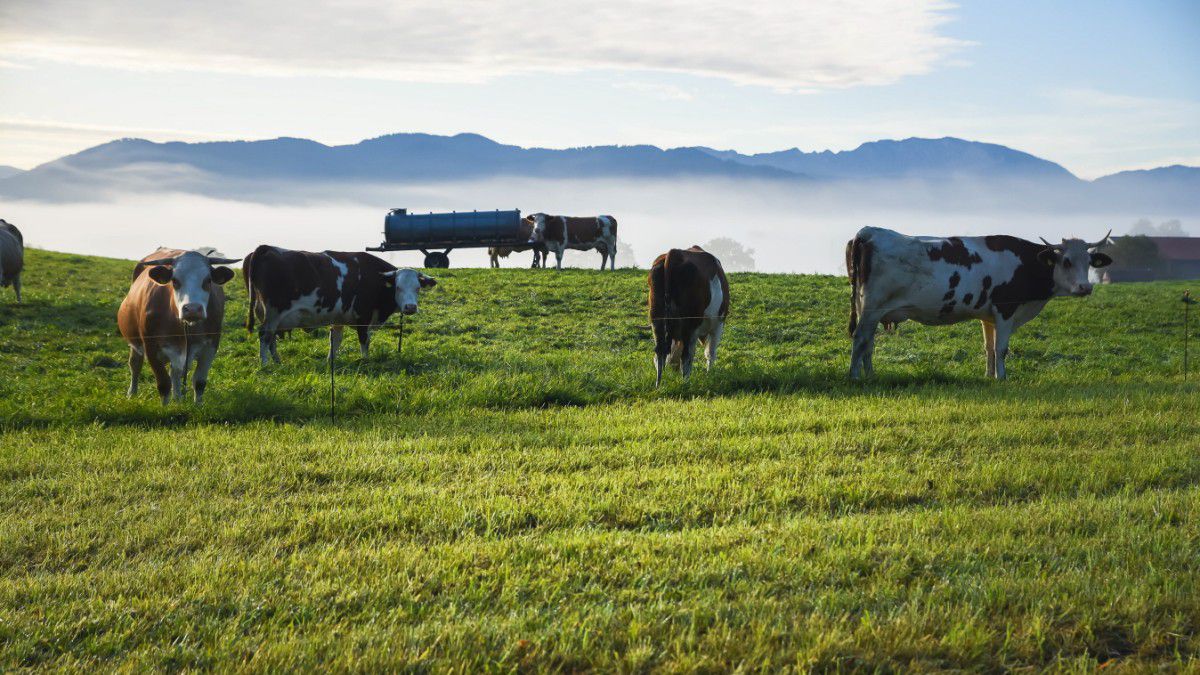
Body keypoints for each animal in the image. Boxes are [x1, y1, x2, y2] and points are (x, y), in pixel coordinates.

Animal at [116, 248, 238, 401]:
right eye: (174, 281)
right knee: (135, 364)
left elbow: (199, 382)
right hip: (135, 343)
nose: (192, 309)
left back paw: (177, 399)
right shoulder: (151, 348)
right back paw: (132, 393)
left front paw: (197, 405)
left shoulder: (211, 347)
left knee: (175, 372)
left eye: (208, 280)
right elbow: (163, 385)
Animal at [242, 243, 436, 362]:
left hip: (269, 315)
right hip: (274, 312)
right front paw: (365, 361)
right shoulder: (363, 316)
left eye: (418, 288)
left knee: (272, 338)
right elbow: (364, 340)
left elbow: (335, 341)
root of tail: (266, 248)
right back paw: (265, 365)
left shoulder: (338, 318)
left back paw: (277, 362)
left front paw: (330, 361)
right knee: (265, 335)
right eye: (398, 287)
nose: (410, 307)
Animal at [652, 246, 724, 384]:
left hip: (656, 320)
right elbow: (710, 353)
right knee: (686, 356)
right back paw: (686, 383)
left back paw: (658, 384)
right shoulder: (718, 324)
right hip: (690, 325)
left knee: (659, 353)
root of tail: (674, 252)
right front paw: (709, 375)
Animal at [844, 225, 1113, 379]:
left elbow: (989, 347)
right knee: (860, 339)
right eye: (1066, 261)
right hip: (872, 308)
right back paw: (855, 376)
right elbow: (1002, 348)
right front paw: (1002, 378)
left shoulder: (988, 316)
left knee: (868, 343)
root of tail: (868, 232)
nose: (1085, 287)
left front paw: (988, 375)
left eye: (1089, 262)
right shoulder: (1006, 310)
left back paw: (870, 375)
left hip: (868, 308)